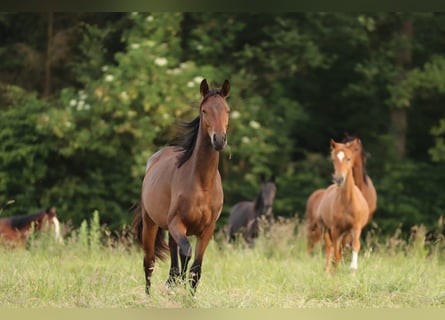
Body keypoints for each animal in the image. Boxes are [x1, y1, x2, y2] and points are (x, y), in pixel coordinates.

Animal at [132, 79, 231, 296]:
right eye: (204, 110)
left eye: (227, 110)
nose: (219, 140)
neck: (202, 183)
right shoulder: (178, 224)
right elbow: (186, 253)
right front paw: (178, 287)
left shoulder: (207, 230)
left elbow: (196, 269)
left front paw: (188, 296)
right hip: (151, 224)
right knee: (149, 262)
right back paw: (148, 296)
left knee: (172, 253)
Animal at [318, 139, 370, 274]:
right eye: (333, 159)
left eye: (348, 158)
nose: (339, 178)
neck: (347, 202)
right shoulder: (335, 229)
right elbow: (336, 253)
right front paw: (333, 273)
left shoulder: (356, 227)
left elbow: (355, 246)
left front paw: (353, 271)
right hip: (325, 228)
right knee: (330, 247)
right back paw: (327, 271)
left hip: (345, 232)